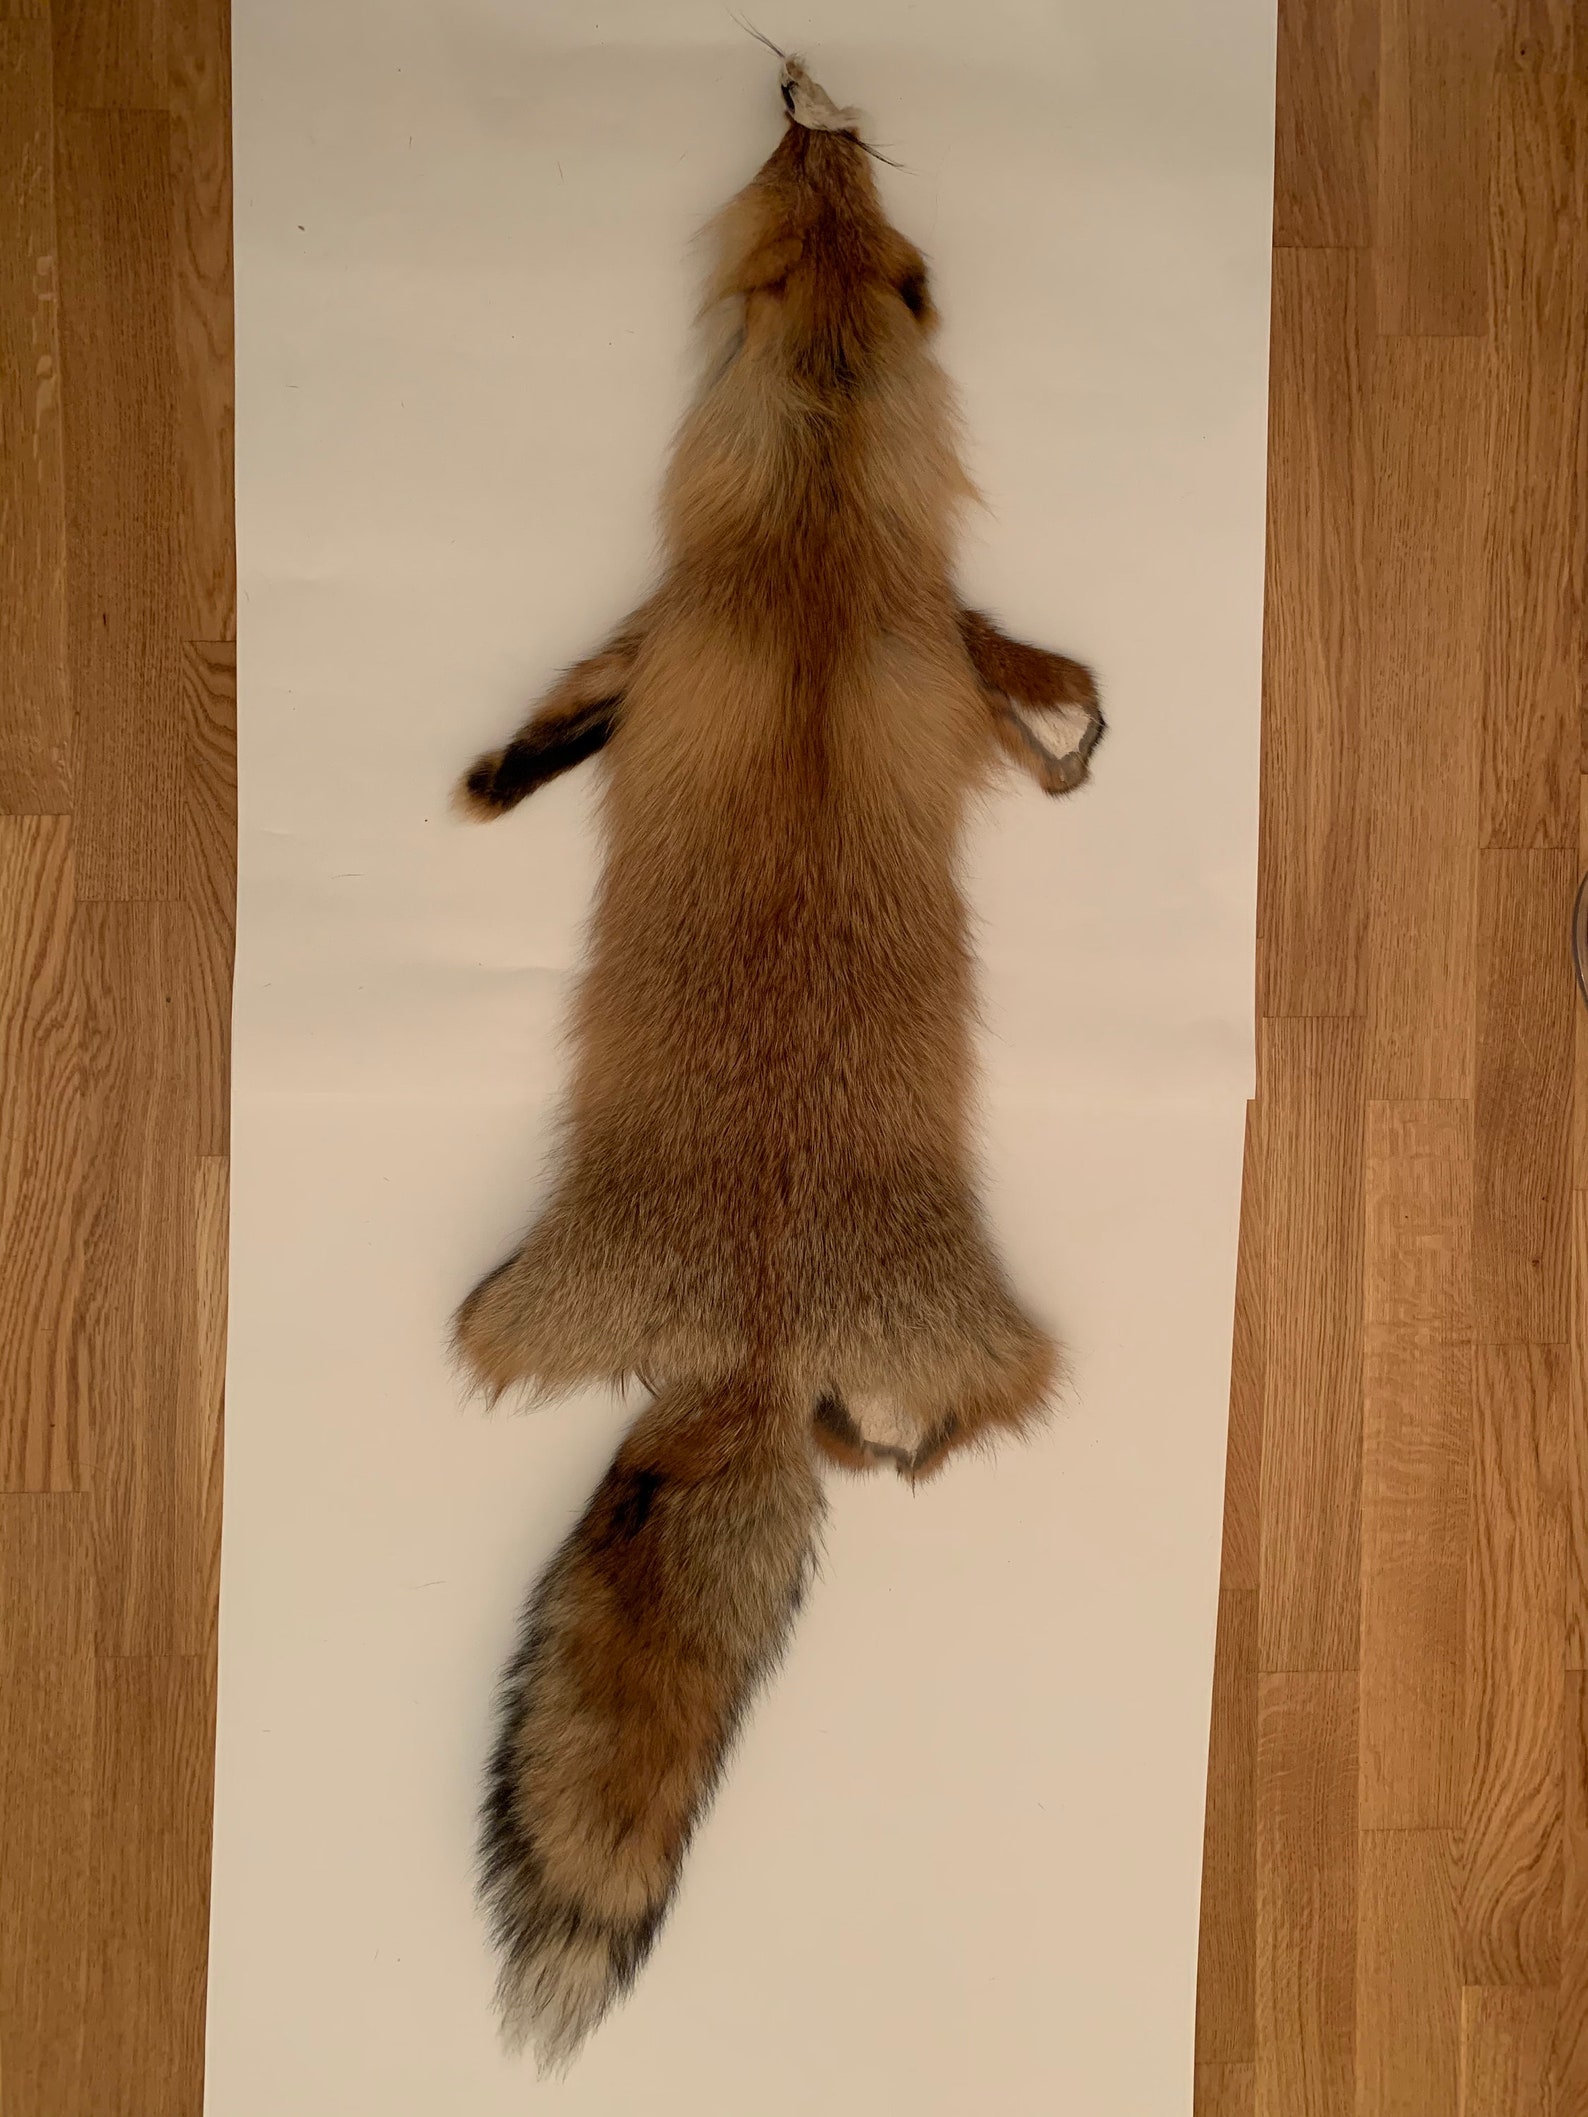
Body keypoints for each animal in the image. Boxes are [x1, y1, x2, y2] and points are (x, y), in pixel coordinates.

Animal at [451, 56, 1103, 2068]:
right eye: (801, 195)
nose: (810, 93)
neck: (812, 546)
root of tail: (751, 1340)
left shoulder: (671, 631)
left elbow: (572, 707)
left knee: (943, 1437)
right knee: (914, 1449)